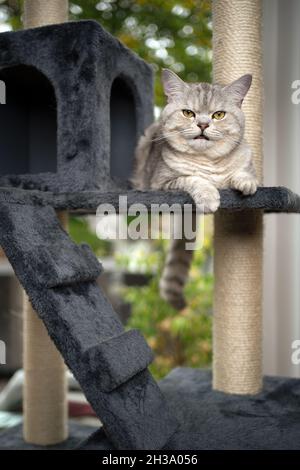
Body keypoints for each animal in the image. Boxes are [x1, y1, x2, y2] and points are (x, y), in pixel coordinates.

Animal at [132, 70, 258, 310]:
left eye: (219, 115)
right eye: (188, 113)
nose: (202, 125)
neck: (208, 161)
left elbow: (240, 172)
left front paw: (246, 182)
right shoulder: (162, 182)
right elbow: (195, 178)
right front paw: (209, 196)